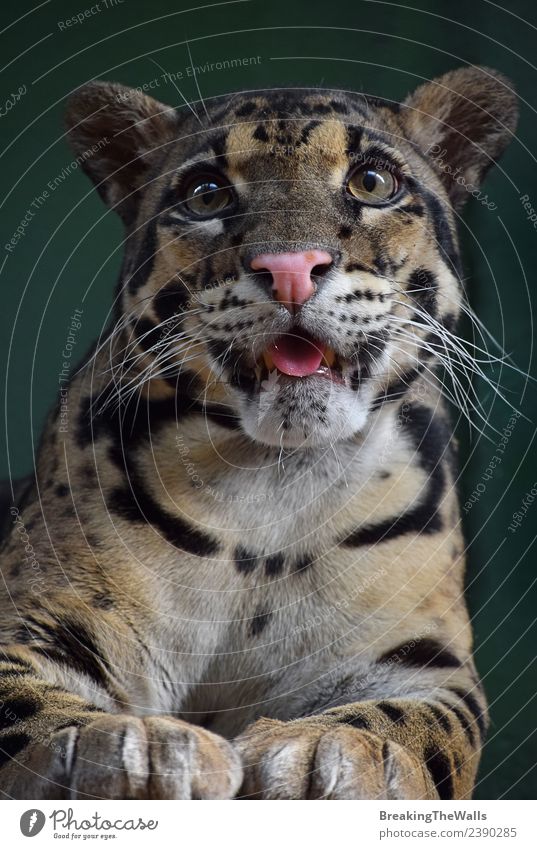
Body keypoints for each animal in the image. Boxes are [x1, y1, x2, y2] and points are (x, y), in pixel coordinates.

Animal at [1, 64, 520, 796]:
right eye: (206, 194)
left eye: (371, 182)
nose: (291, 267)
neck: (274, 481)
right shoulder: (40, 617)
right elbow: (33, 704)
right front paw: (137, 744)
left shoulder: (418, 659)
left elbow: (411, 722)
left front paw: (324, 749)